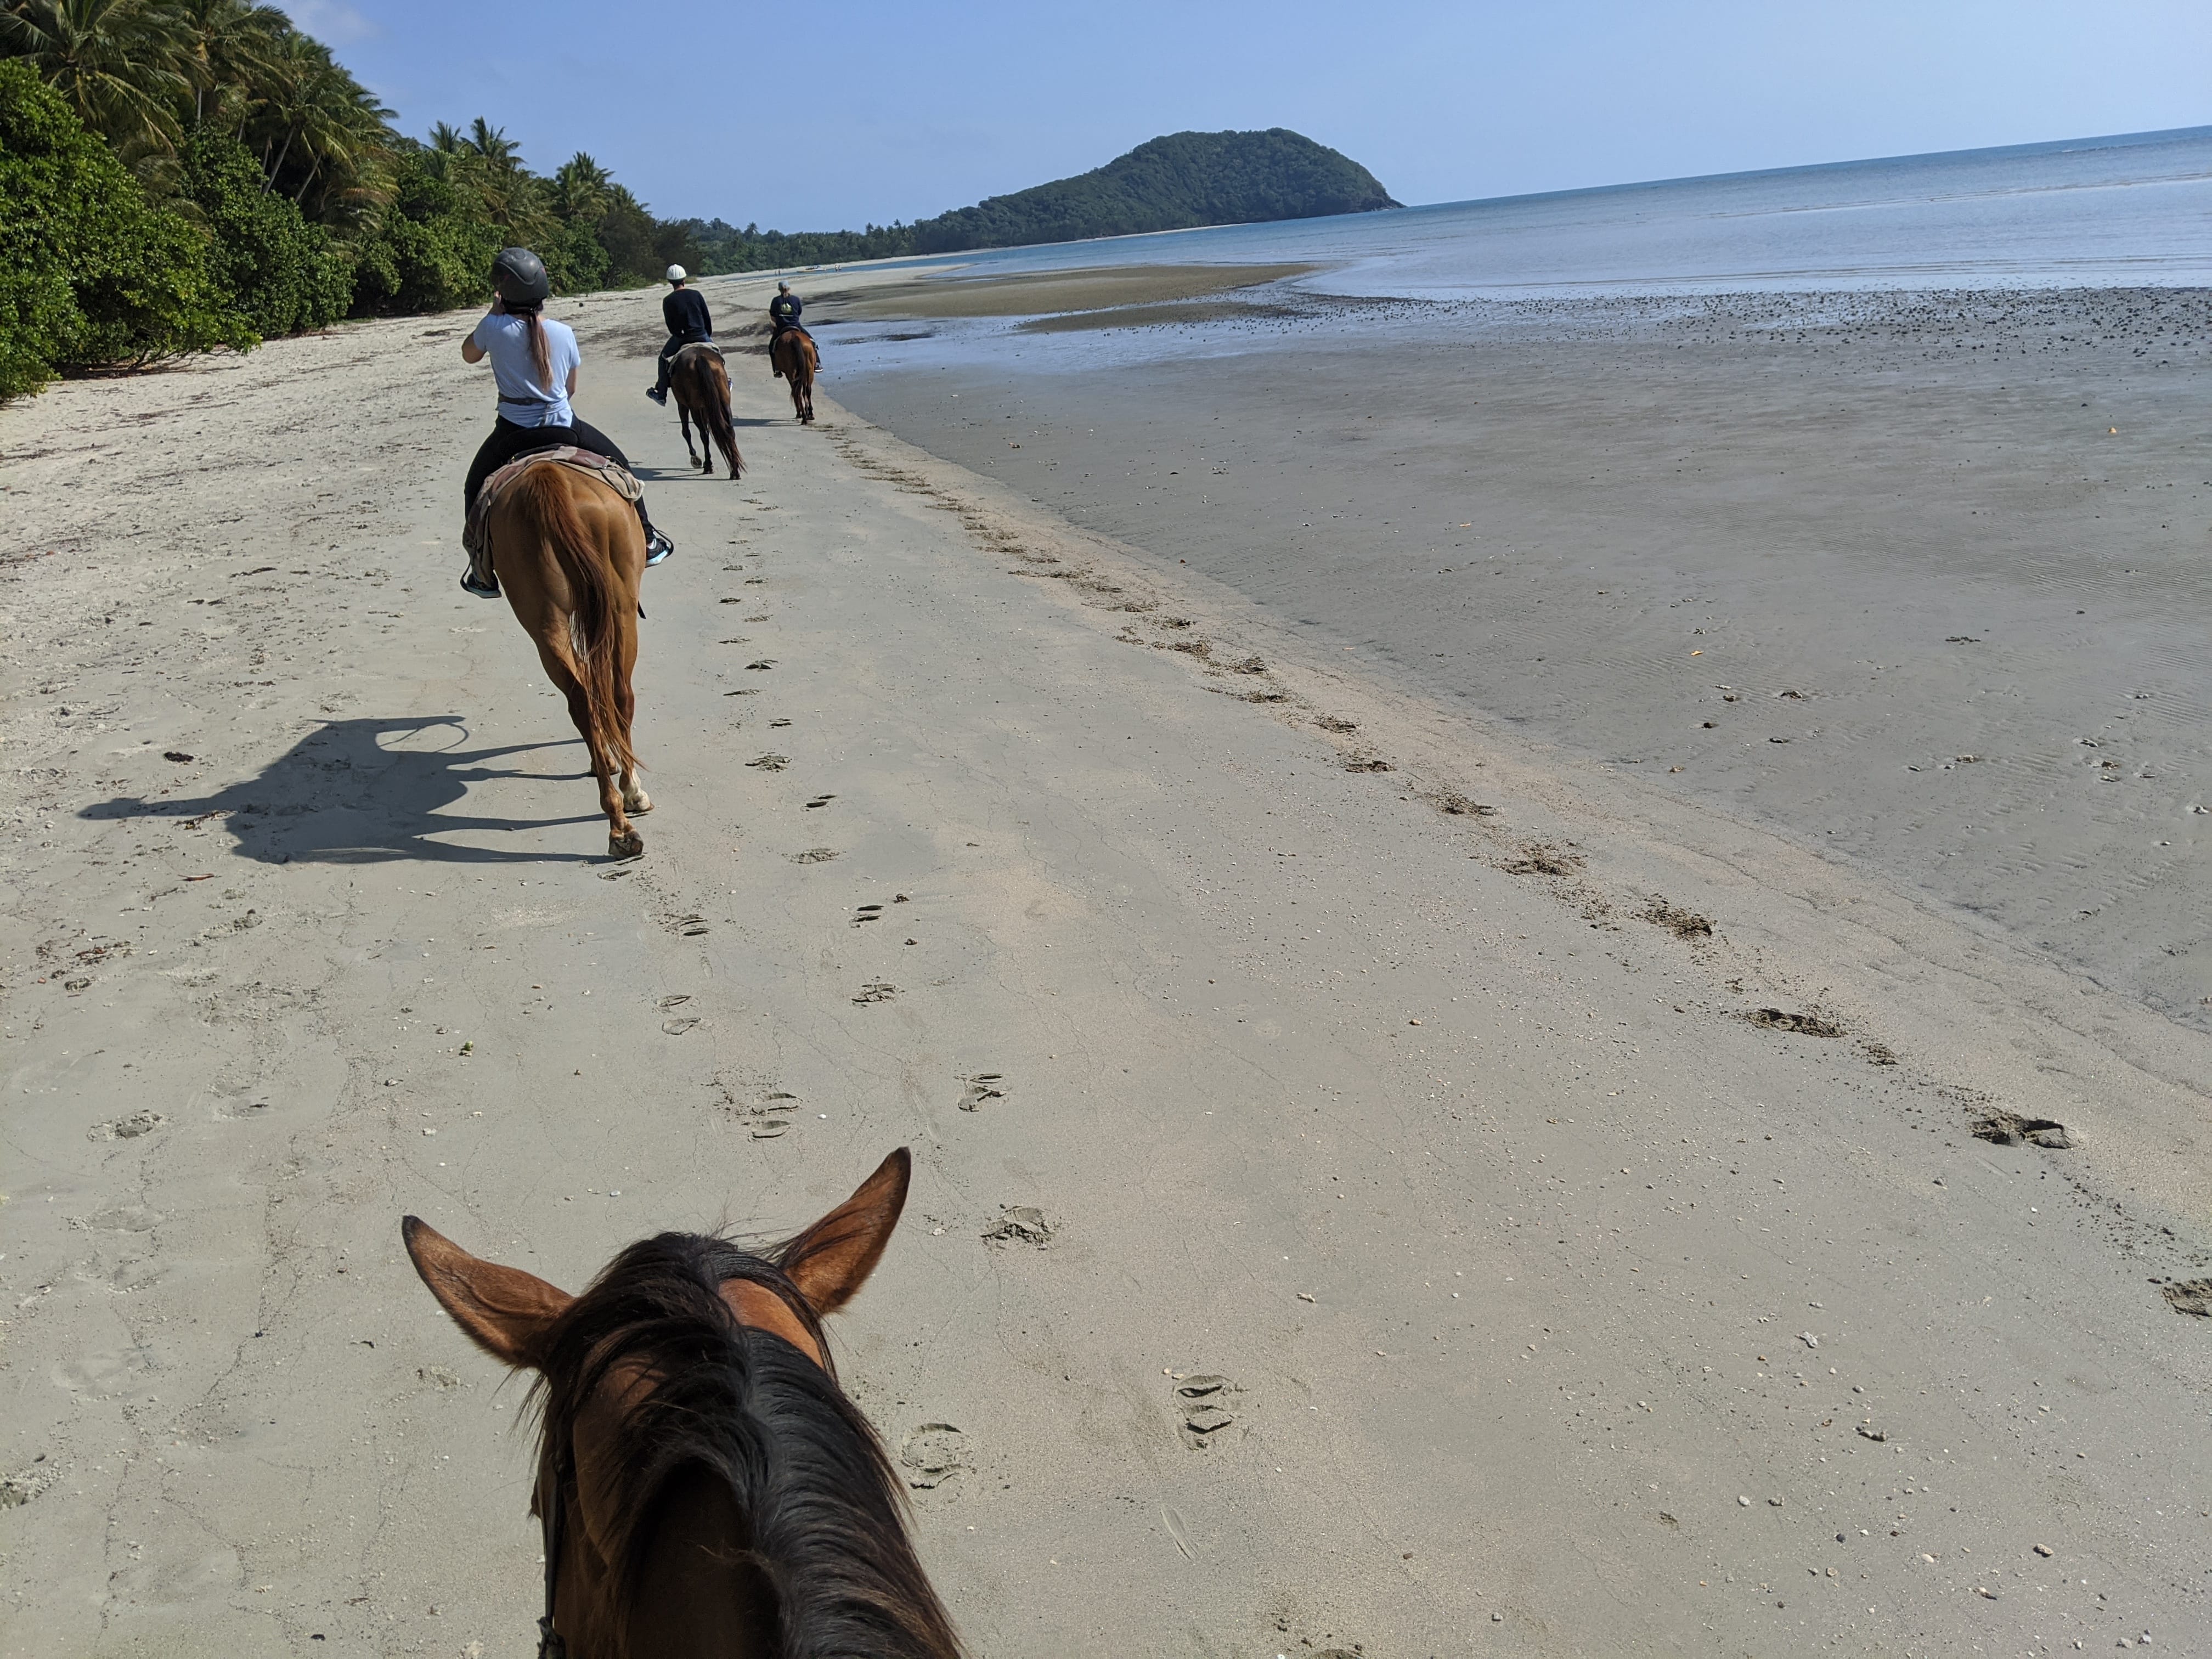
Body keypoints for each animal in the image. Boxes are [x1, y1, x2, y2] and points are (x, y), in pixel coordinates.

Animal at [484, 462, 651, 858]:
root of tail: (548, 477)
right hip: (621, 608)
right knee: (621, 694)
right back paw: (631, 794)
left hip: (547, 619)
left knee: (583, 701)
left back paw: (619, 825)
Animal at [671, 343, 744, 479]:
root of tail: (700, 358)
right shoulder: (705, 407)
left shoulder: (683, 405)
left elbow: (686, 432)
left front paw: (695, 458)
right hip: (724, 402)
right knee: (730, 431)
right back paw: (735, 471)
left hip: (694, 408)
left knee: (704, 433)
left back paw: (708, 466)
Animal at [770, 328, 818, 425]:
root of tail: (795, 338)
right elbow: (804, 391)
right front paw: (807, 411)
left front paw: (802, 412)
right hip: (810, 369)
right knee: (807, 390)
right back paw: (809, 414)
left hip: (791, 371)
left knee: (796, 391)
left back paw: (802, 416)